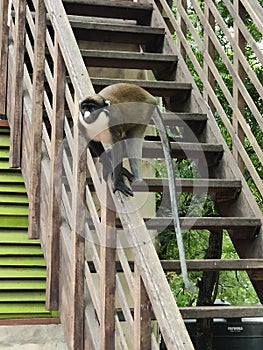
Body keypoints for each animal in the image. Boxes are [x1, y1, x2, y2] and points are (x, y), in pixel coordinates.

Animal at [79, 82, 197, 292]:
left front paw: (118, 181)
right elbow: (94, 144)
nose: (85, 114)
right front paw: (109, 166)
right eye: (84, 108)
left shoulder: (113, 124)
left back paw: (136, 179)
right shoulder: (84, 128)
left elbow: (119, 145)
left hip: (143, 113)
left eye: (91, 108)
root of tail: (147, 94)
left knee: (131, 139)